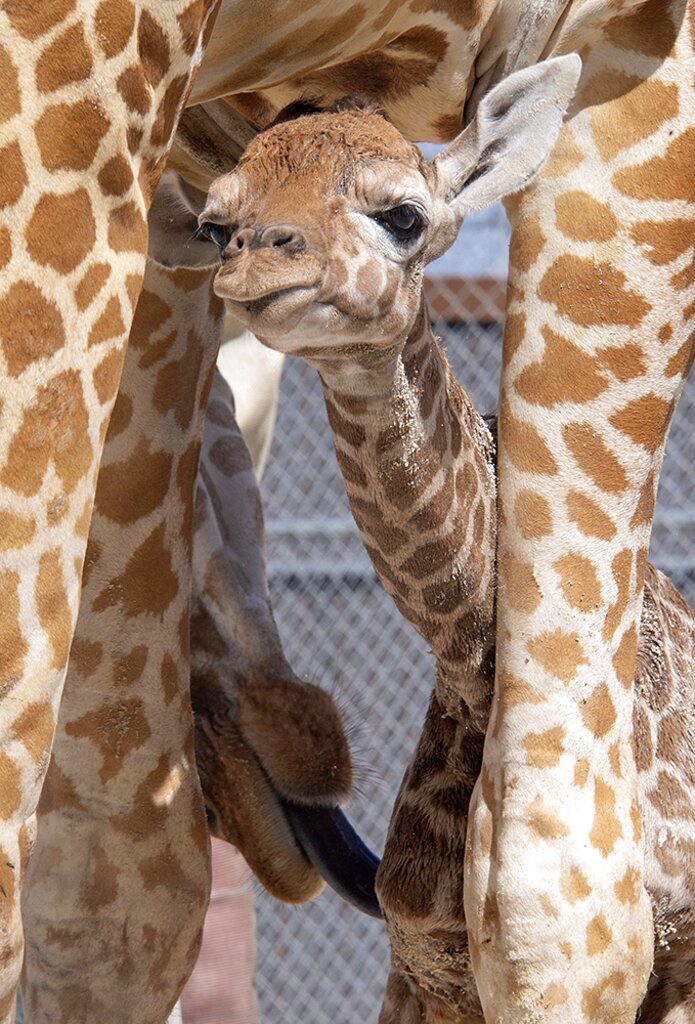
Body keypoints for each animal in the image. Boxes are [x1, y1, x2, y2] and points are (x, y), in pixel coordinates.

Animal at [198, 58, 694, 1023]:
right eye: (215, 226)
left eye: (402, 214)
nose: (257, 261)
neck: (471, 667)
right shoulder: (423, 958)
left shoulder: (669, 955)